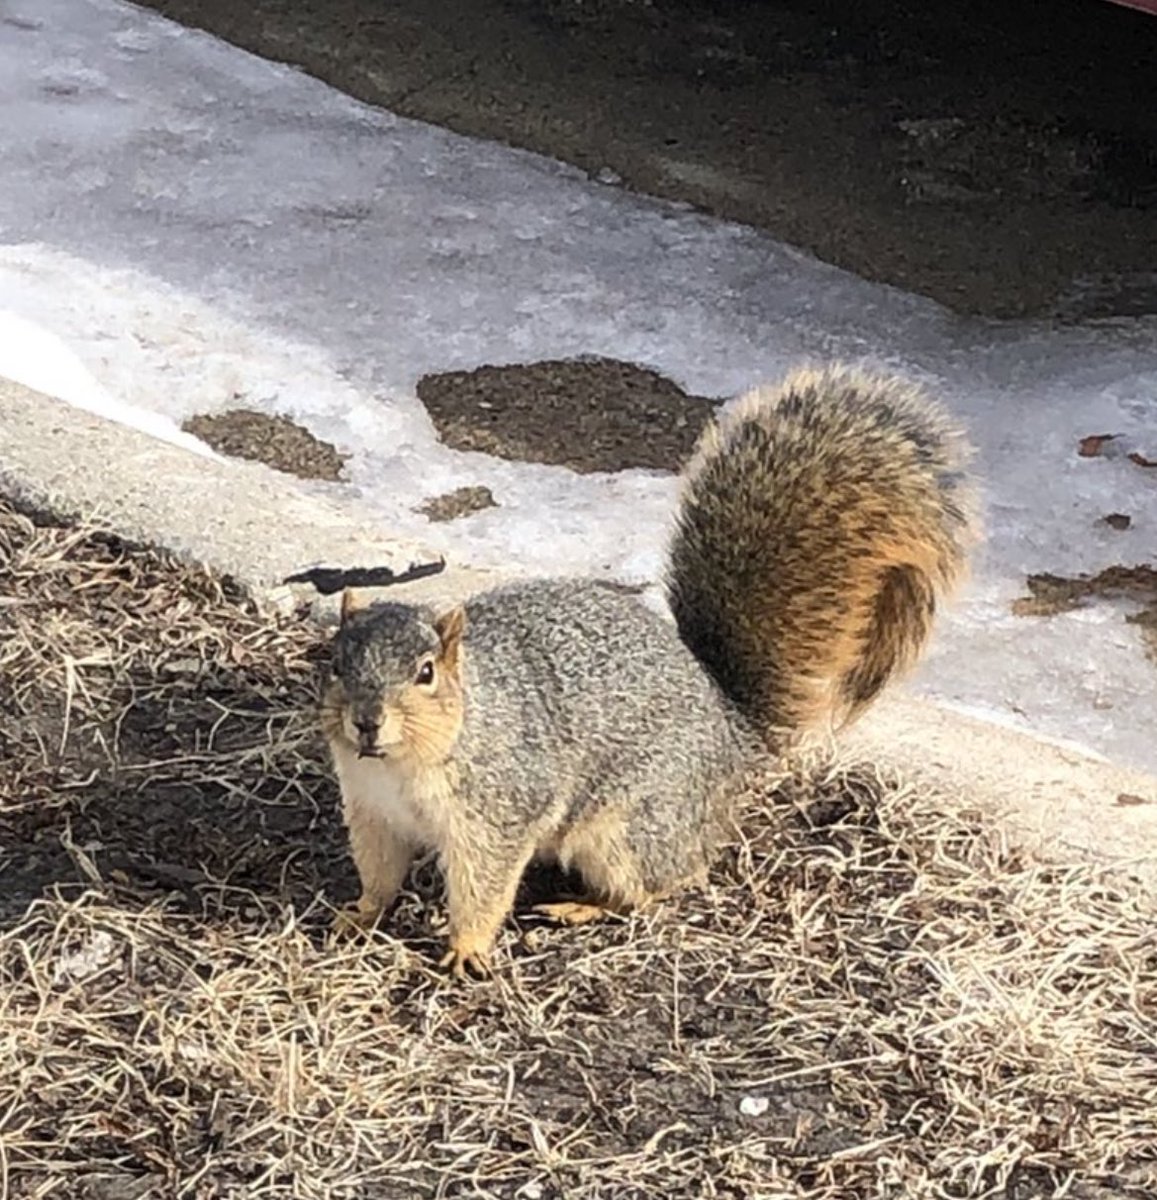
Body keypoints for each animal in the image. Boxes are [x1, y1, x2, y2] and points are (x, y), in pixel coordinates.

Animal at [320, 364, 977, 977]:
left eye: (426, 672)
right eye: (335, 660)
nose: (367, 722)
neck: (403, 765)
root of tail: (731, 728)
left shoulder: (501, 810)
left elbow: (484, 887)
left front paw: (467, 949)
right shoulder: (371, 811)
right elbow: (379, 872)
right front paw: (358, 914)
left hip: (629, 829)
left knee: (659, 885)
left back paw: (581, 906)